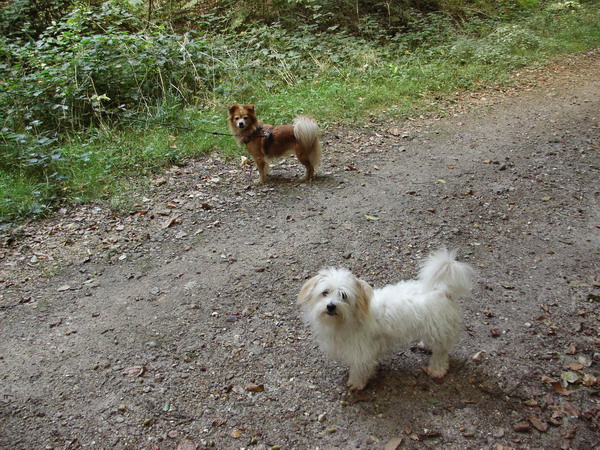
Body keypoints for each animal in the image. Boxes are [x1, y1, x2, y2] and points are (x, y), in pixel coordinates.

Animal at [298, 248, 476, 392]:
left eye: (343, 295)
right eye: (325, 292)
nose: (330, 306)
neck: (347, 320)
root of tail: (442, 291)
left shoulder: (362, 352)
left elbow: (359, 369)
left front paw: (355, 383)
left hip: (439, 332)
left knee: (441, 354)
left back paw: (436, 370)